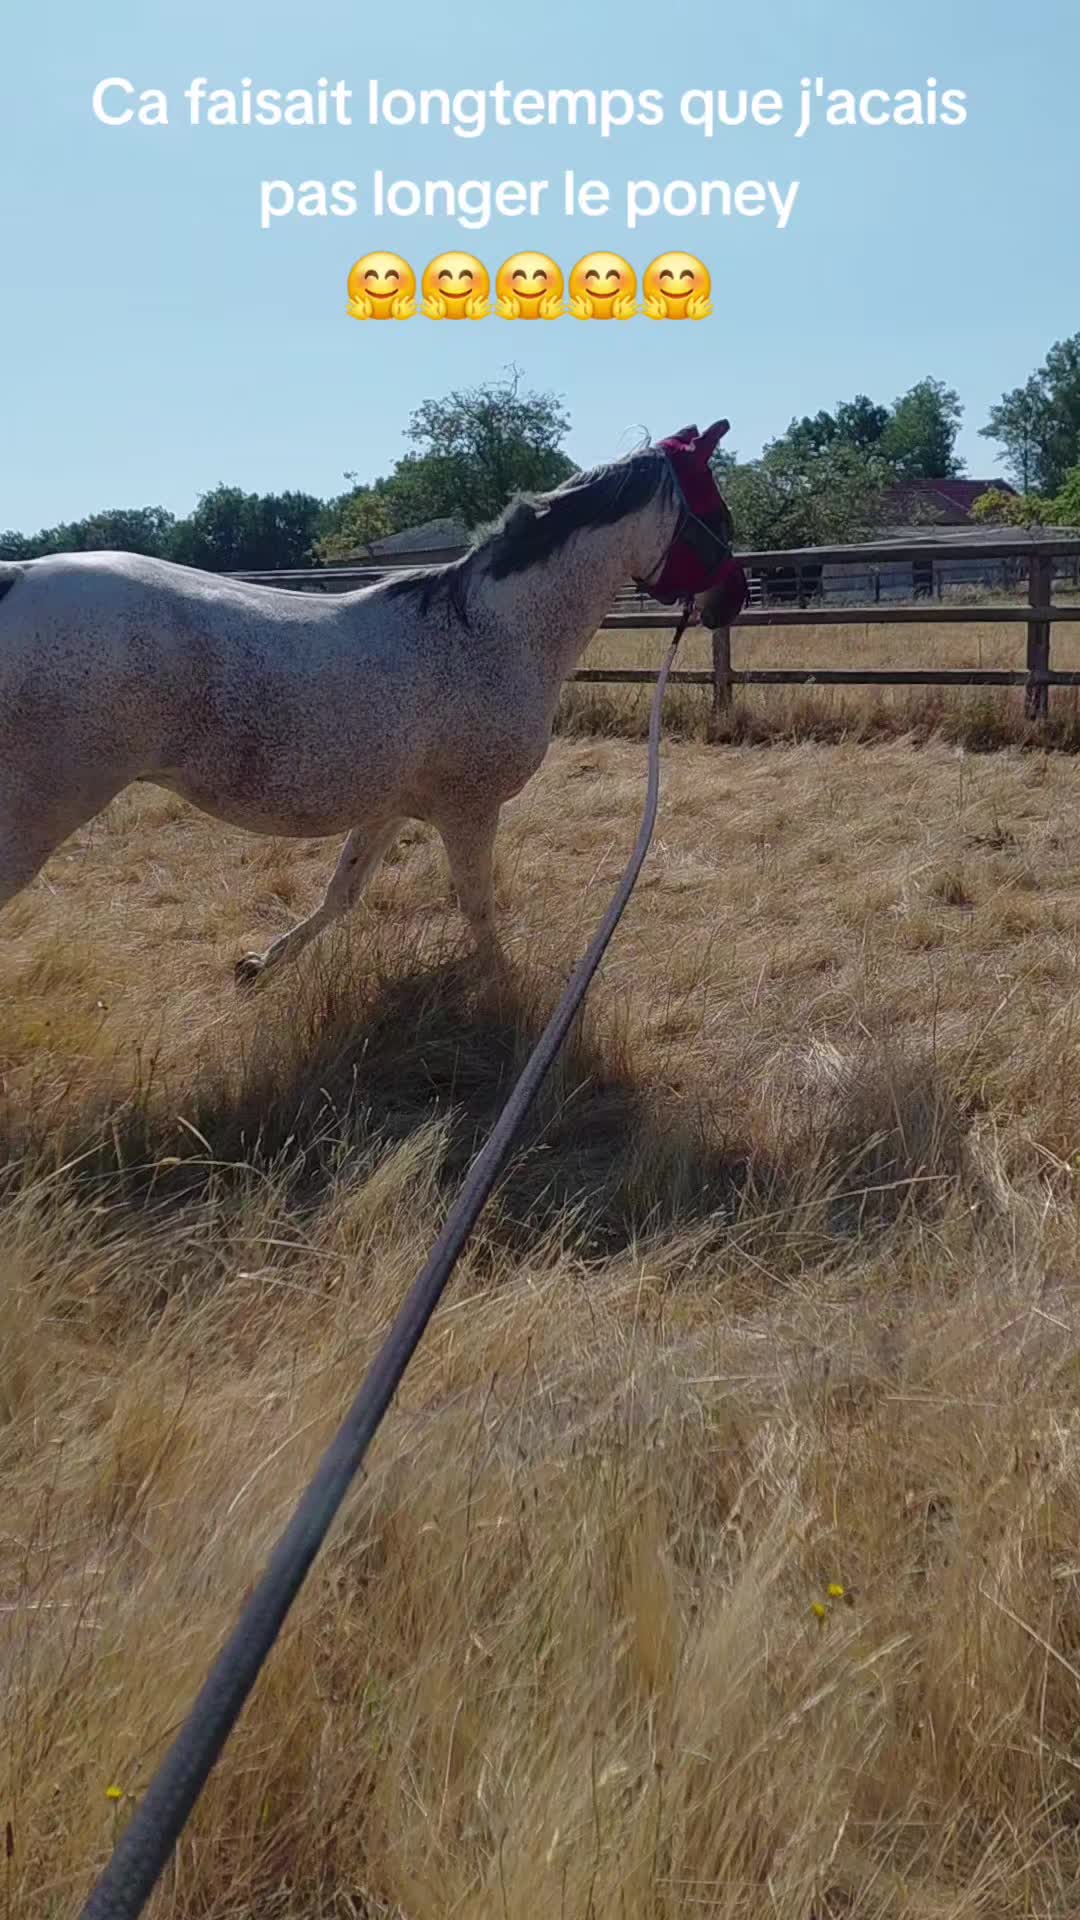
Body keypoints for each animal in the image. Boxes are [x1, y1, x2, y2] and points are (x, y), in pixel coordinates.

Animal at [0, 421, 747, 986]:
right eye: (719, 516)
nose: (731, 601)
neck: (490, 630)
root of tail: (17, 578)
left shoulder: (390, 806)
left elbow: (343, 893)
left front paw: (260, 967)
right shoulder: (468, 812)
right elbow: (476, 905)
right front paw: (503, 990)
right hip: (34, 817)